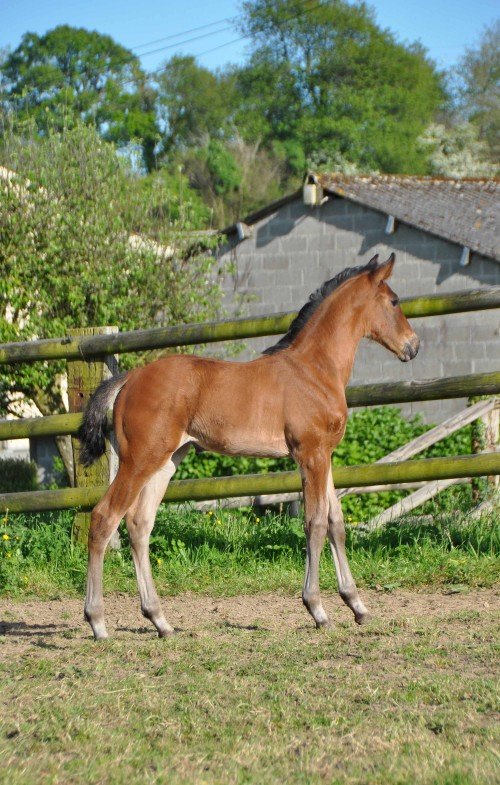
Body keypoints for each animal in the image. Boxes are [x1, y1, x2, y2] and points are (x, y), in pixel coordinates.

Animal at [79, 253, 419, 640]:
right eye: (394, 301)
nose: (413, 346)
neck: (314, 370)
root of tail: (130, 378)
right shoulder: (310, 454)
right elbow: (315, 522)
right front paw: (317, 610)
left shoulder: (325, 455)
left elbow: (336, 522)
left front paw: (357, 606)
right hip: (139, 459)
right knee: (104, 518)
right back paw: (98, 622)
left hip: (167, 460)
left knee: (139, 524)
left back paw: (160, 620)